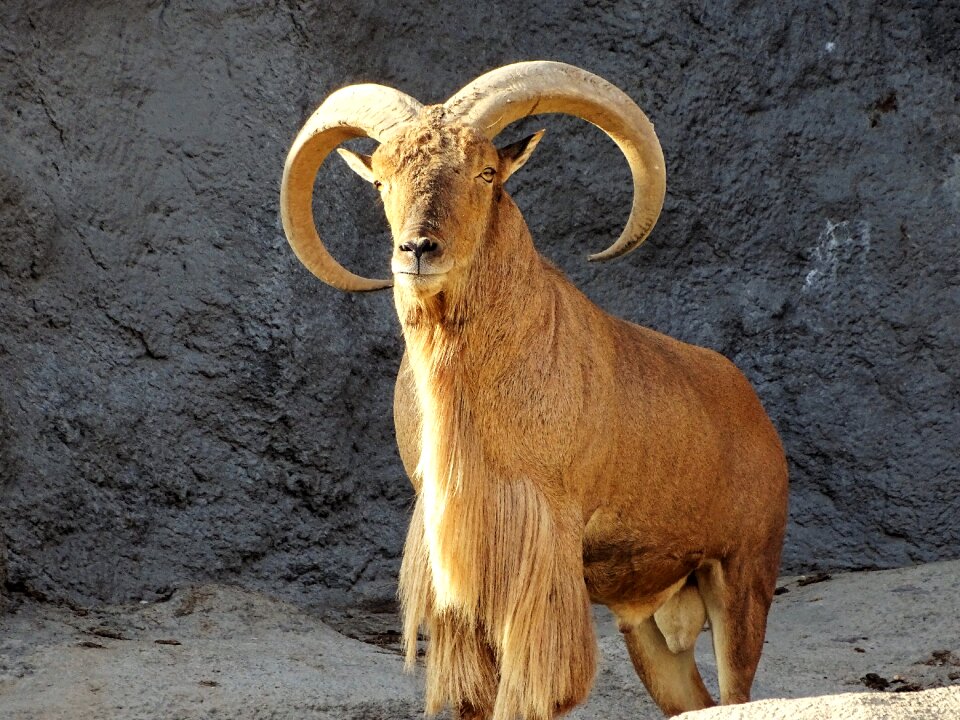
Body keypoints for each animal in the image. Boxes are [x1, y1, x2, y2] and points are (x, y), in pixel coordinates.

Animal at [280, 62, 788, 720]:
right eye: (383, 180)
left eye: (485, 172)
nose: (416, 249)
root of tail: (758, 415)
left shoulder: (546, 547)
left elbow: (535, 688)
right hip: (649, 624)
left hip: (743, 578)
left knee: (737, 689)